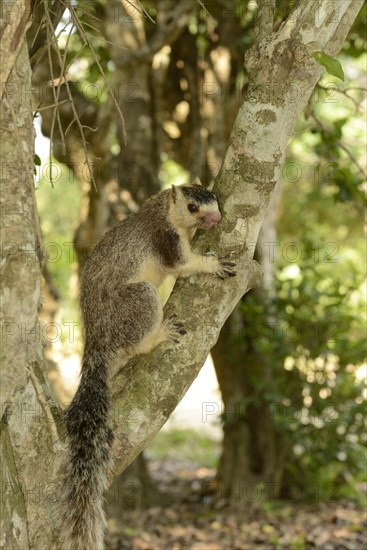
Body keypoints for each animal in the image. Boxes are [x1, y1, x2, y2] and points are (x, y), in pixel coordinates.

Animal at [57, 181, 236, 550]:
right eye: (193, 206)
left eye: (213, 198)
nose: (215, 218)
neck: (163, 211)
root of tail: (97, 344)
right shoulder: (165, 238)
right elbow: (184, 264)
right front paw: (212, 265)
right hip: (138, 301)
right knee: (138, 337)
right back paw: (159, 334)